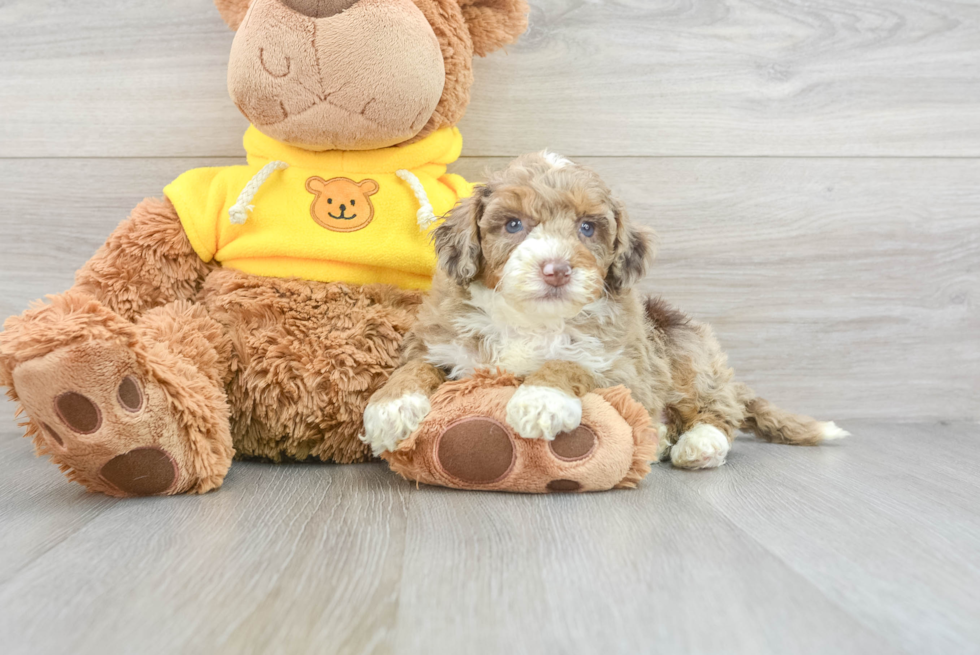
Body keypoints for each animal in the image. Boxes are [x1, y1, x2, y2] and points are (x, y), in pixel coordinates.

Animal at [364, 151, 848, 468]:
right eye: (514, 224)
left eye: (587, 227)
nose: (556, 270)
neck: (529, 320)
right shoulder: (441, 345)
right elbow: (414, 369)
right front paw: (389, 410)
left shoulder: (623, 366)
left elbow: (570, 362)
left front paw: (540, 399)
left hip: (685, 349)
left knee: (717, 408)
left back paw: (698, 444)